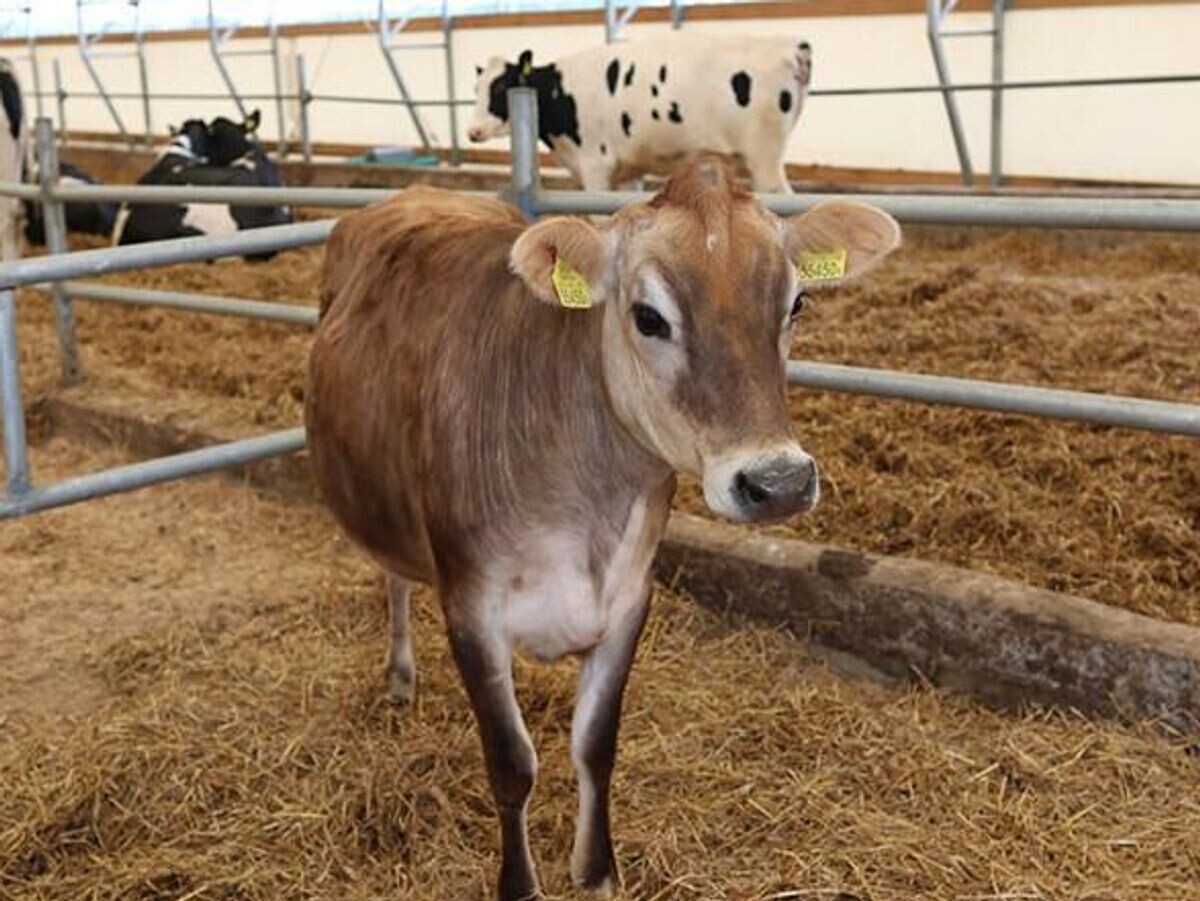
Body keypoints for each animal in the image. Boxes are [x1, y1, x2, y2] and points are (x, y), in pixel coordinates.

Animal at [306, 160, 900, 900]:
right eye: (648, 316)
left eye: (796, 304)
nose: (779, 482)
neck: (583, 509)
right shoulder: (471, 607)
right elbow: (511, 763)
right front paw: (519, 885)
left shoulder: (628, 600)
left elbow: (595, 745)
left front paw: (596, 871)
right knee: (393, 578)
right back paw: (398, 677)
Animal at [468, 34, 813, 193]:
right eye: (476, 88)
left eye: (501, 88)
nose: (473, 132)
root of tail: (791, 44)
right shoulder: (627, 172)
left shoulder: (595, 164)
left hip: (765, 159)